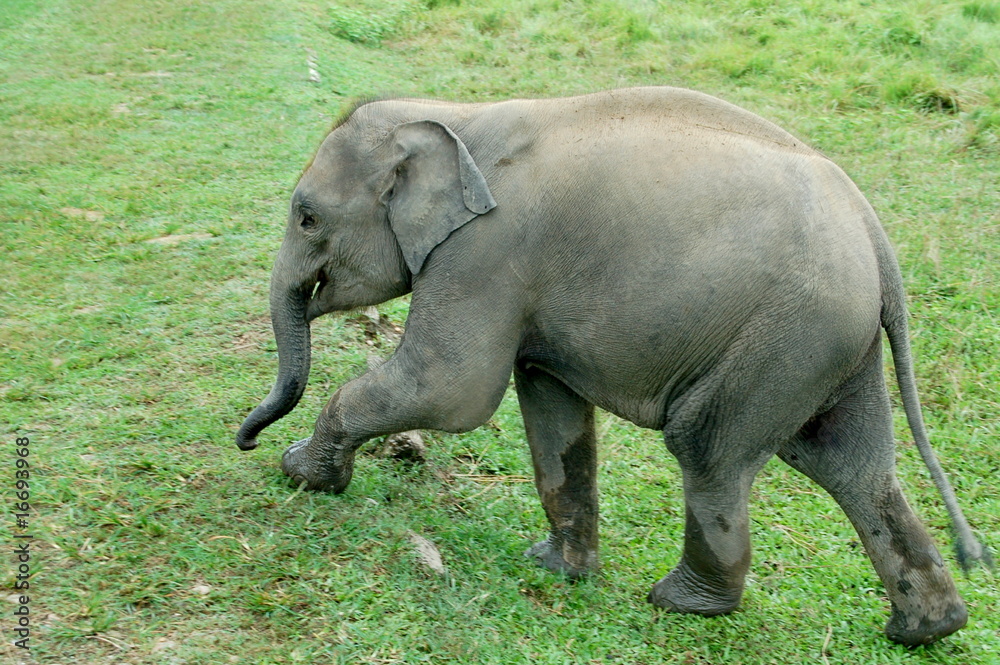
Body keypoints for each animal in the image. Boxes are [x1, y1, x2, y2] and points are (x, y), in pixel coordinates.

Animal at [235, 87, 990, 645]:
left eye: (306, 217)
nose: (246, 439)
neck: (455, 112)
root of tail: (877, 237)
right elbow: (551, 409)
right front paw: (558, 570)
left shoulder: (485, 251)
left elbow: (449, 388)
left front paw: (302, 475)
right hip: (833, 343)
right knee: (848, 464)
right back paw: (928, 628)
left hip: (790, 331)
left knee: (708, 448)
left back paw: (682, 602)